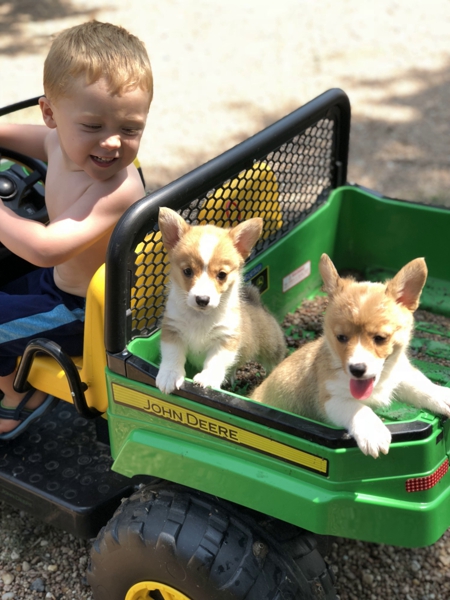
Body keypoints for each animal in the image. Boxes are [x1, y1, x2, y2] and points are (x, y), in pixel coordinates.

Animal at [155, 209, 284, 396]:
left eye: (222, 275)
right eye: (187, 271)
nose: (202, 300)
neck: (200, 317)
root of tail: (256, 300)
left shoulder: (225, 339)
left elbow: (215, 361)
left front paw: (207, 379)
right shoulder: (173, 331)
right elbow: (172, 355)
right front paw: (169, 376)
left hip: (271, 349)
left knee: (273, 364)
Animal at [251, 254, 450, 460]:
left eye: (380, 338)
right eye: (341, 337)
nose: (357, 369)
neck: (378, 383)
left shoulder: (397, 376)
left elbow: (419, 384)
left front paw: (442, 394)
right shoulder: (330, 399)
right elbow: (357, 408)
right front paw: (373, 432)